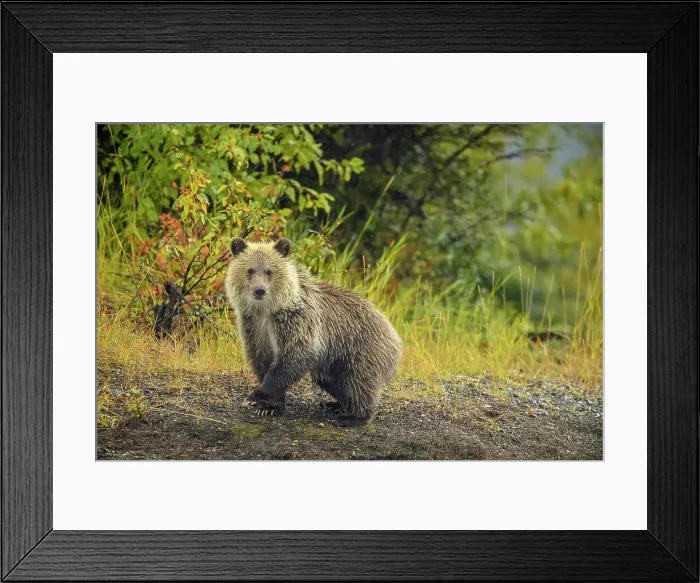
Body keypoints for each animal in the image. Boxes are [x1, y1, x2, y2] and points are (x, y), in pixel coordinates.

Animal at [224, 237, 402, 427]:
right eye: (250, 270)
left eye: (269, 271)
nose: (259, 290)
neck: (268, 311)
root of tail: (394, 333)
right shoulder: (254, 326)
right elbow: (262, 359)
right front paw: (270, 406)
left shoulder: (297, 321)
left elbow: (294, 356)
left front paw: (256, 397)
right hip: (333, 360)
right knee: (334, 381)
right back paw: (335, 404)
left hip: (360, 349)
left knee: (358, 381)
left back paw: (352, 416)